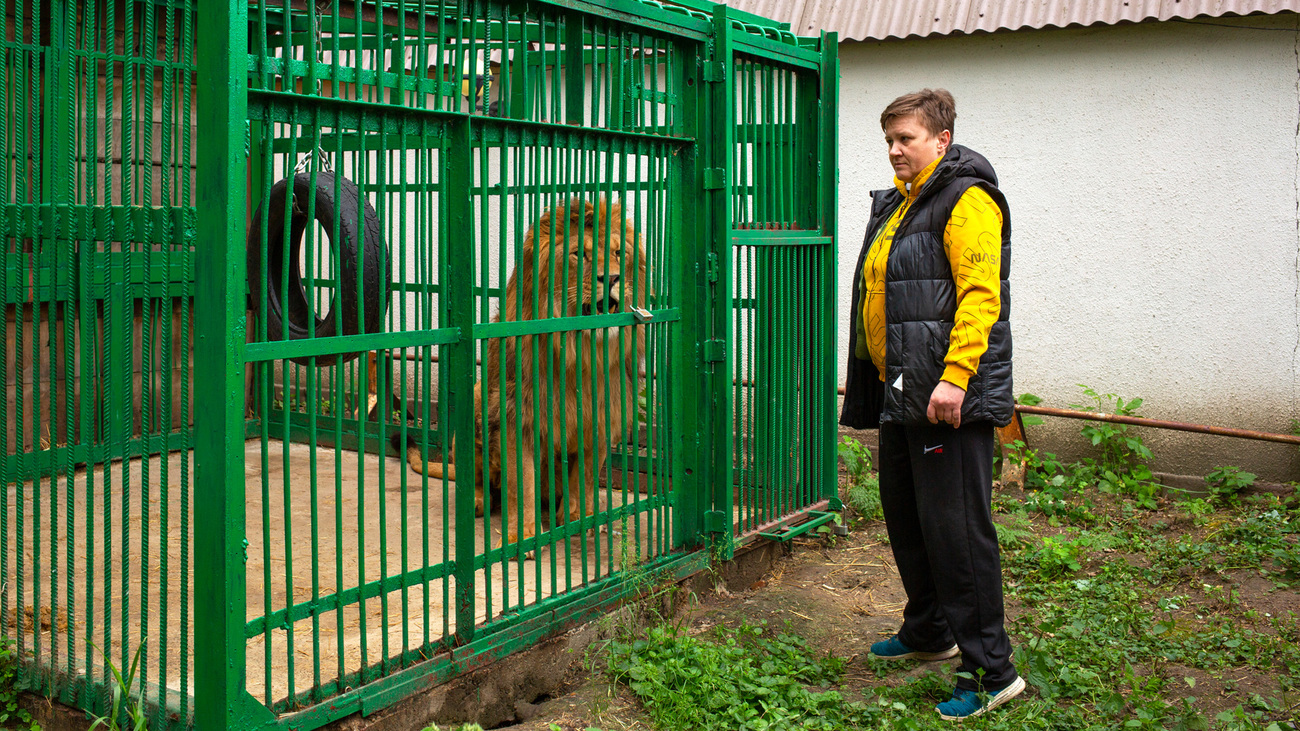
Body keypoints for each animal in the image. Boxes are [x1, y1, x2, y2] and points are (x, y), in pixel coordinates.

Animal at [397, 197, 650, 551]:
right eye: (579, 254)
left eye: (618, 253)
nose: (611, 279)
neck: (582, 354)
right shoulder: (518, 417)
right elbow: (523, 484)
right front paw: (524, 536)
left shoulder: (603, 419)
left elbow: (584, 478)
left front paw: (578, 518)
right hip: (476, 400)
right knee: (481, 481)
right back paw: (479, 501)